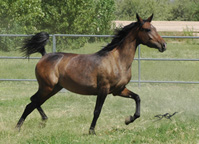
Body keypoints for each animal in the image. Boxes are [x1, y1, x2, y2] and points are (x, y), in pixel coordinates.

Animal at [15, 14, 166, 134]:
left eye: (155, 28)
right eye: (147, 29)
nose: (163, 45)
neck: (117, 61)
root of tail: (44, 55)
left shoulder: (119, 90)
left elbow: (137, 98)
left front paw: (128, 119)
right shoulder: (103, 90)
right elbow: (97, 111)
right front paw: (91, 131)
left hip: (54, 88)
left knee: (33, 101)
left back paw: (42, 121)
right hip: (47, 87)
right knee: (31, 102)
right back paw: (19, 127)